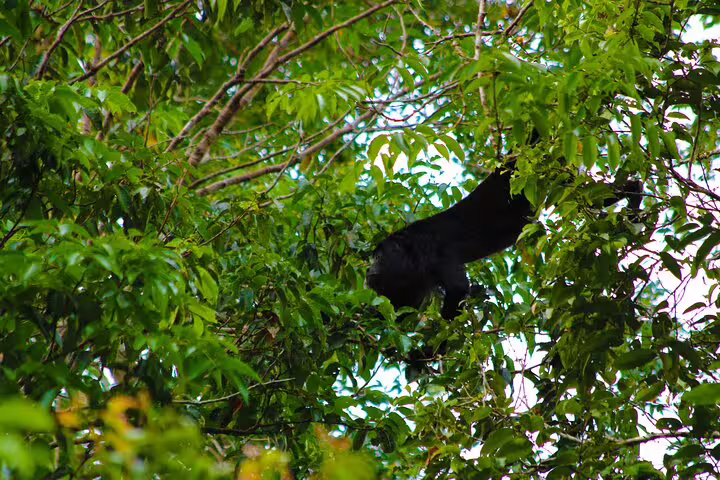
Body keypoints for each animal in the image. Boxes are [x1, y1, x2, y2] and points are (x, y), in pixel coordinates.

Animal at [367, 136, 643, 322]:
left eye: (379, 256)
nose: (369, 270)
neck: (413, 248)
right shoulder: (417, 277)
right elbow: (405, 309)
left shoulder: (438, 253)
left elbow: (458, 289)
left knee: (584, 197)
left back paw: (635, 198)